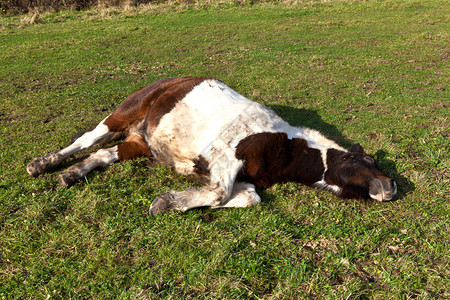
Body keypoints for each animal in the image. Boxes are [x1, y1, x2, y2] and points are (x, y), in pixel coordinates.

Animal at [26, 76, 396, 214]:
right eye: (369, 161)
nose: (391, 187)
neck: (281, 142)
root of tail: (165, 81)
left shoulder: (238, 176)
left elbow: (246, 197)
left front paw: (176, 200)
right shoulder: (225, 158)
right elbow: (219, 193)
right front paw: (165, 202)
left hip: (142, 142)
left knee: (105, 153)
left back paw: (72, 174)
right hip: (122, 114)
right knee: (86, 140)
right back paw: (43, 164)